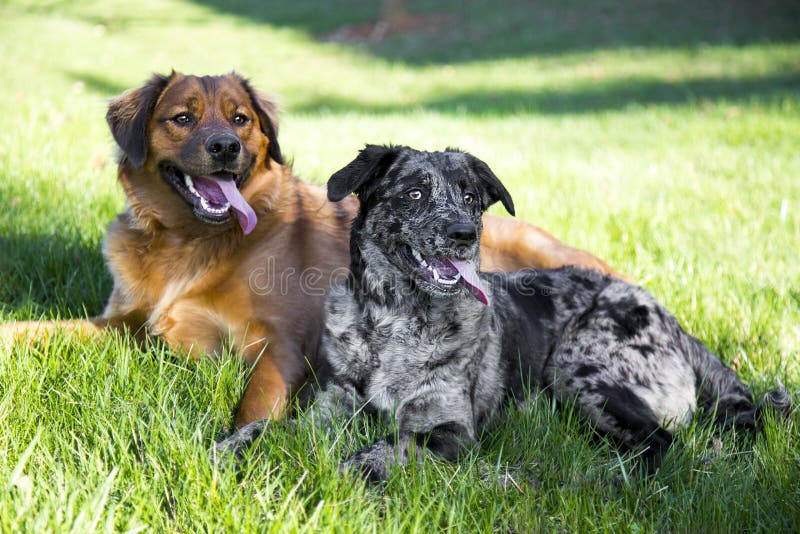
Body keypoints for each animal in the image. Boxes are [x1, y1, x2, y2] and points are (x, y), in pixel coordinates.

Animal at [1, 72, 620, 432]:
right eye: (182, 117)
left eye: (240, 118)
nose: (225, 147)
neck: (189, 241)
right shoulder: (125, 324)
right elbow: (43, 329)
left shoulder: (277, 345)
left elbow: (253, 404)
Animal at [216, 144, 792, 480]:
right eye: (414, 193)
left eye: (472, 197)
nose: (464, 234)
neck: (397, 323)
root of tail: (670, 318)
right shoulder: (332, 406)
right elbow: (273, 429)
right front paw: (234, 446)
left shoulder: (448, 428)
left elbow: (379, 449)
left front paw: (332, 472)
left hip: (580, 367)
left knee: (661, 443)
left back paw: (611, 477)